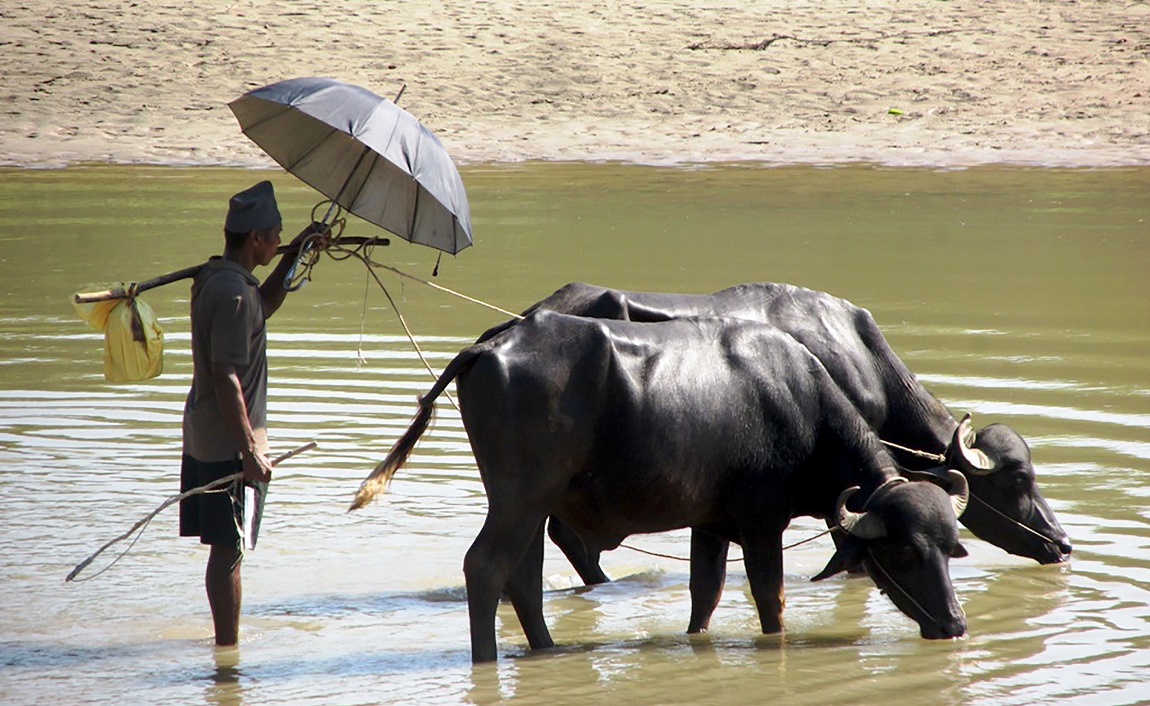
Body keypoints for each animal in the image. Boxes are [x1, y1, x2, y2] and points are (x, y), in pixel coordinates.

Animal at [351, 315, 970, 662]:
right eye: (904, 552)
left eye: (949, 549)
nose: (955, 625)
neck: (801, 404)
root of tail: (490, 347)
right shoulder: (760, 523)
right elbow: (770, 600)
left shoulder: (710, 525)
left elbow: (705, 595)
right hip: (519, 497)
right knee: (485, 568)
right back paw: (488, 660)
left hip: (531, 503)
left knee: (522, 576)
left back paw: (547, 651)